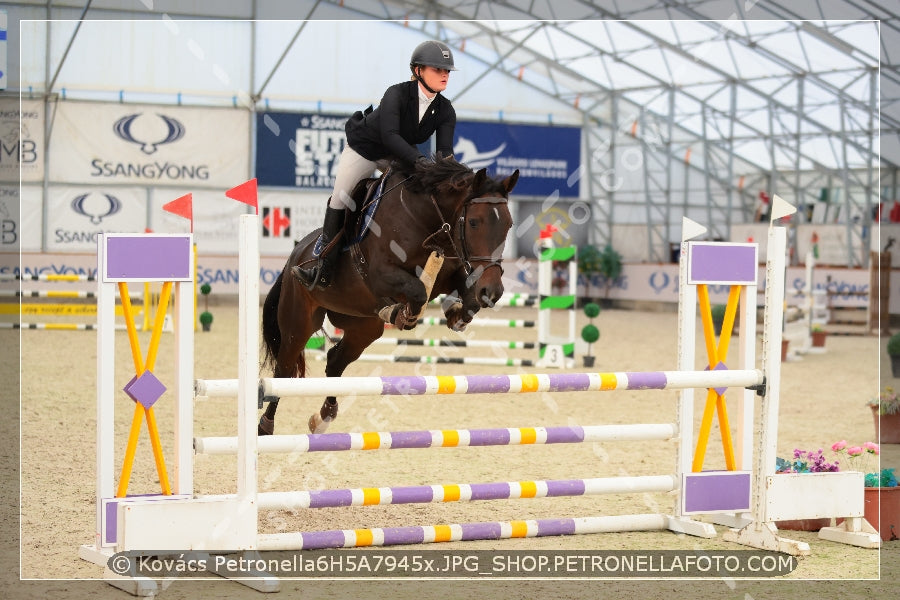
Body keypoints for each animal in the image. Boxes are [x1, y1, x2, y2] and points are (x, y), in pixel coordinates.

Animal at [258, 157, 520, 434]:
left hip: (364, 327)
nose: (492, 291)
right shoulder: (381, 275)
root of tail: (295, 254)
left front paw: (455, 314)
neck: (426, 219)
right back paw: (265, 426)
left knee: (335, 360)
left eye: (509, 224)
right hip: (299, 323)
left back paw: (323, 417)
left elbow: (468, 296)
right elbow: (417, 292)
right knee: (284, 370)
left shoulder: (451, 272)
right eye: (474, 222)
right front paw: (402, 314)